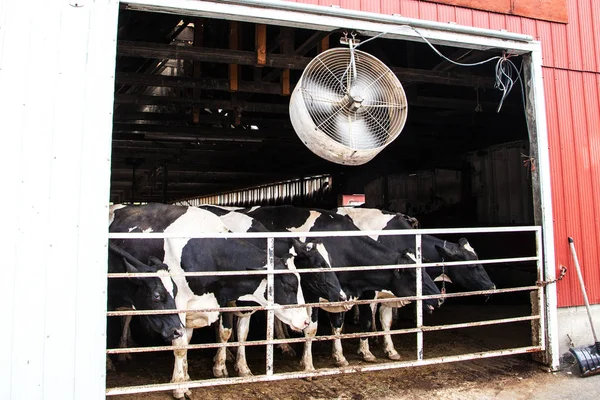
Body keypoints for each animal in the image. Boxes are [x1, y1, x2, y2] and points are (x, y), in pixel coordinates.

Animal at [110, 205, 312, 398]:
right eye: (289, 285)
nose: (305, 321)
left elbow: (235, 333)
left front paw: (238, 368)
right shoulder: (179, 304)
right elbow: (182, 345)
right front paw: (180, 386)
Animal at [198, 205, 346, 376]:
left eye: (330, 261)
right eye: (318, 265)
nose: (341, 296)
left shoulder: (249, 303)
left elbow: (243, 333)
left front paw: (242, 367)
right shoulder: (226, 301)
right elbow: (225, 332)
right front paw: (220, 366)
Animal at [243, 205, 440, 370]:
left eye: (426, 269)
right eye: (414, 274)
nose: (439, 298)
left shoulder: (351, 292)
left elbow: (357, 323)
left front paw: (350, 355)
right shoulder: (312, 294)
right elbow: (312, 328)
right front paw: (307, 363)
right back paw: (284, 346)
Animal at [332, 206, 496, 360]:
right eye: (471, 266)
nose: (492, 286)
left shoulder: (390, 292)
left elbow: (386, 322)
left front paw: (390, 350)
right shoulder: (369, 291)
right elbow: (366, 320)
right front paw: (365, 351)